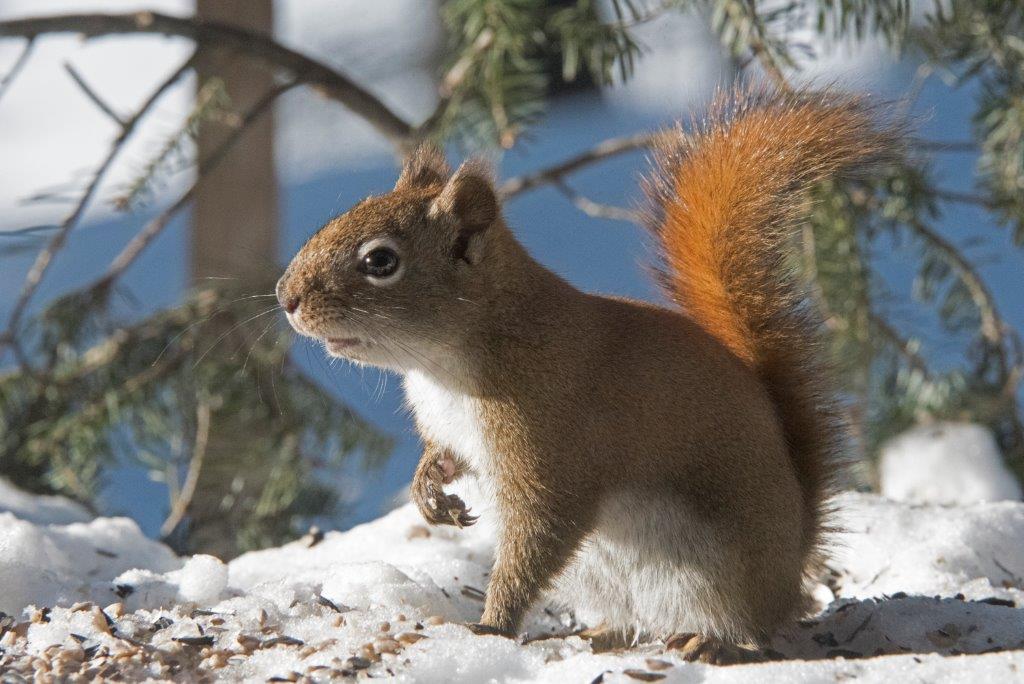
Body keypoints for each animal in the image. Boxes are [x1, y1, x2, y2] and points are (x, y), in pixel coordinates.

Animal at [277, 88, 897, 663]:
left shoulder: (552, 449)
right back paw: (595, 636)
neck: (444, 366)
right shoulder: (451, 428)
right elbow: (443, 456)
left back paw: (718, 644)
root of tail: (793, 560)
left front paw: (492, 627)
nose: (286, 298)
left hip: (722, 571)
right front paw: (431, 491)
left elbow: (539, 536)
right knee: (628, 621)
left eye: (381, 261)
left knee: (753, 628)